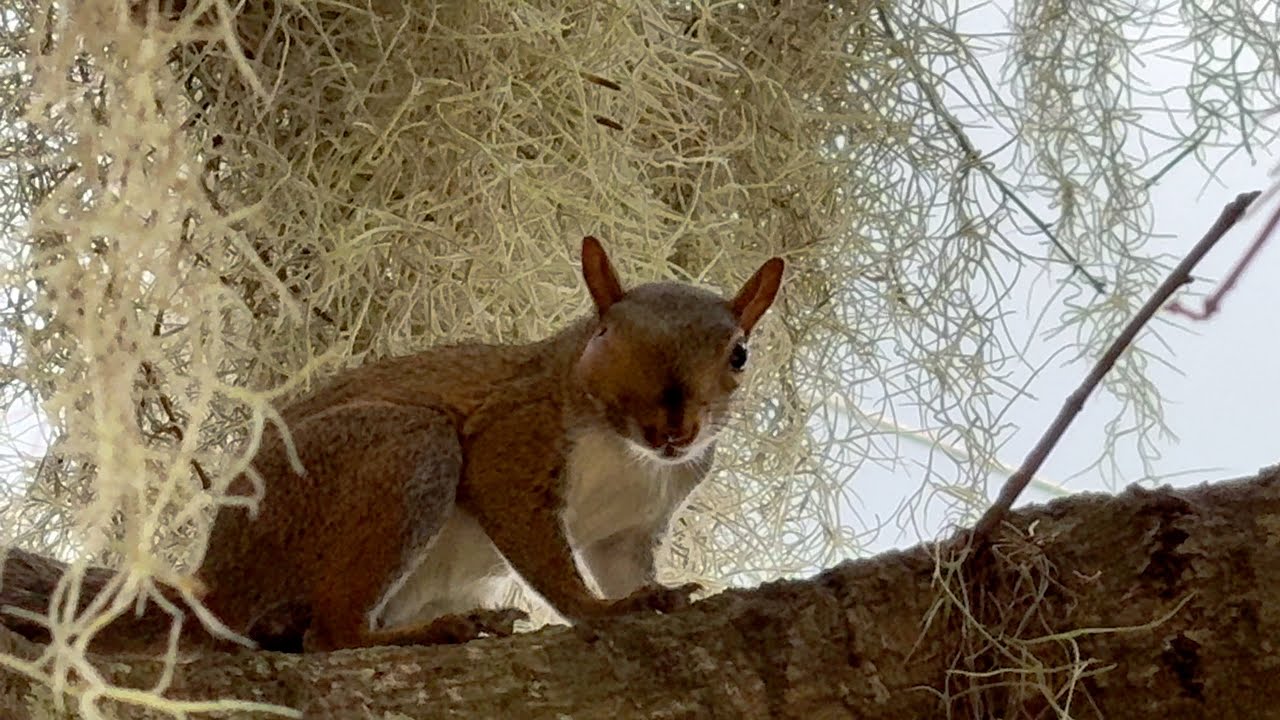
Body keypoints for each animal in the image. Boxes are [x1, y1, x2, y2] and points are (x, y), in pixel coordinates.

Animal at [1, 236, 784, 654]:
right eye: (604, 335)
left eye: (740, 355)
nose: (674, 429)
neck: (628, 455)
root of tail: (217, 581)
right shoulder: (513, 440)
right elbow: (541, 550)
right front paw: (598, 612)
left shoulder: (632, 524)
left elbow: (625, 566)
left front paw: (657, 595)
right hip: (407, 453)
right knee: (332, 636)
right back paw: (436, 632)